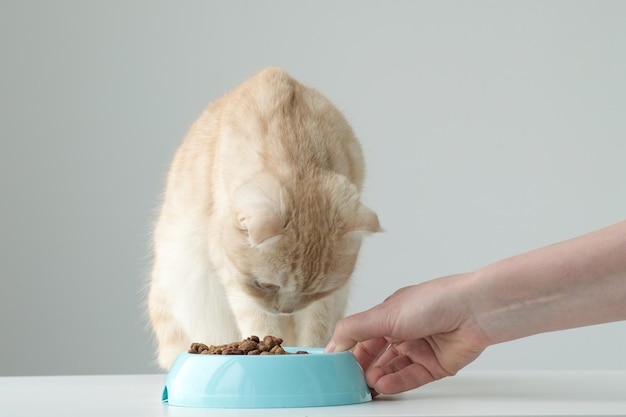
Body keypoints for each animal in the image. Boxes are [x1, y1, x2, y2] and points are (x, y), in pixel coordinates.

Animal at [148, 66, 378, 368]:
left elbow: (315, 330)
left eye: (313, 292)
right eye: (266, 285)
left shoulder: (326, 301)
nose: (285, 310)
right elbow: (257, 322)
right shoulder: (237, 281)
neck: (294, 136)